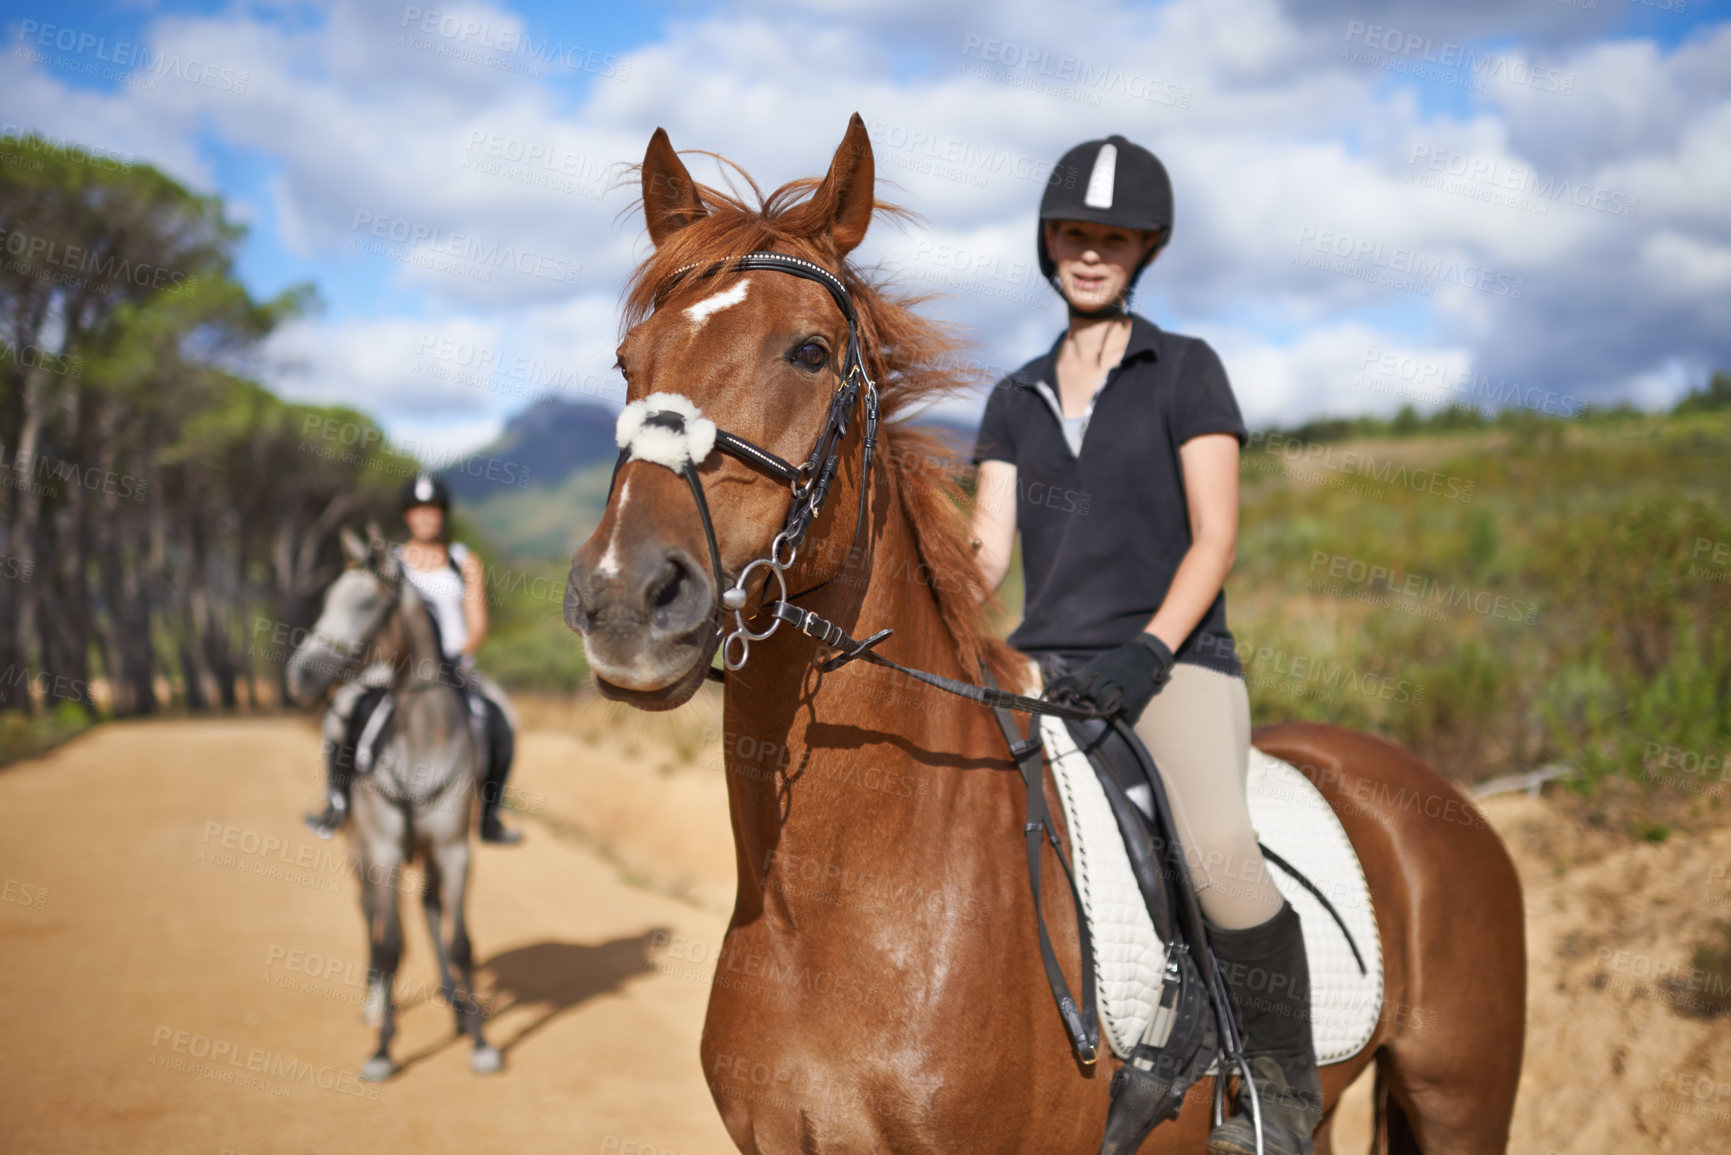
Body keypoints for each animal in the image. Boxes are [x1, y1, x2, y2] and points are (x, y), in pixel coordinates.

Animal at [283, 529, 501, 1080]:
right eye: (326, 600)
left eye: (364, 604)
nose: (300, 678)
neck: (421, 740)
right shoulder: (382, 850)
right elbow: (391, 944)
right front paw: (383, 1049)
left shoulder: (453, 849)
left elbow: (461, 941)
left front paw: (479, 1040)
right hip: (359, 846)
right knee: (370, 915)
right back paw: (375, 1000)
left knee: (429, 908)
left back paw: (454, 1003)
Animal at [560, 115, 1523, 1155]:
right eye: (628, 361)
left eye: (810, 352)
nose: (625, 598)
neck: (826, 905)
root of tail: (1441, 796)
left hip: (1460, 1102)